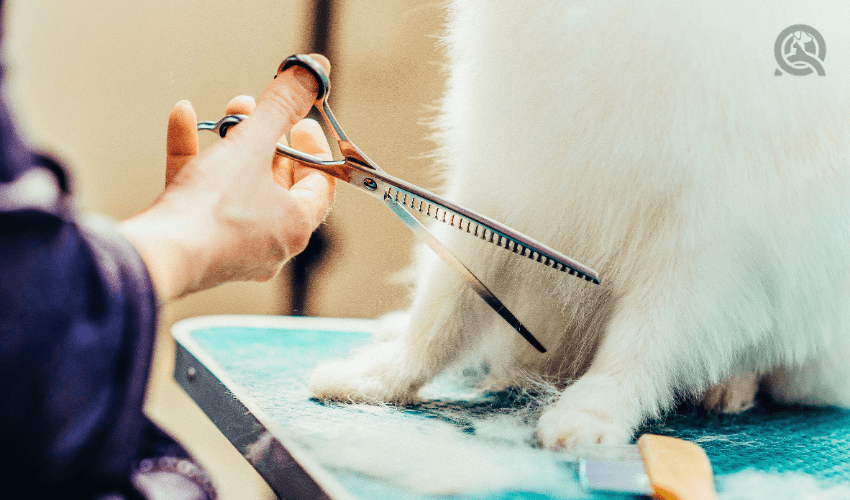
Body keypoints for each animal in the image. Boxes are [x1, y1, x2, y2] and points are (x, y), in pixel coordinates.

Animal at [310, 0, 848, 450]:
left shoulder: (705, 244)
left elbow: (645, 338)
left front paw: (591, 412)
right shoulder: (503, 184)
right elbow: (444, 307)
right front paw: (380, 376)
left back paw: (728, 388)